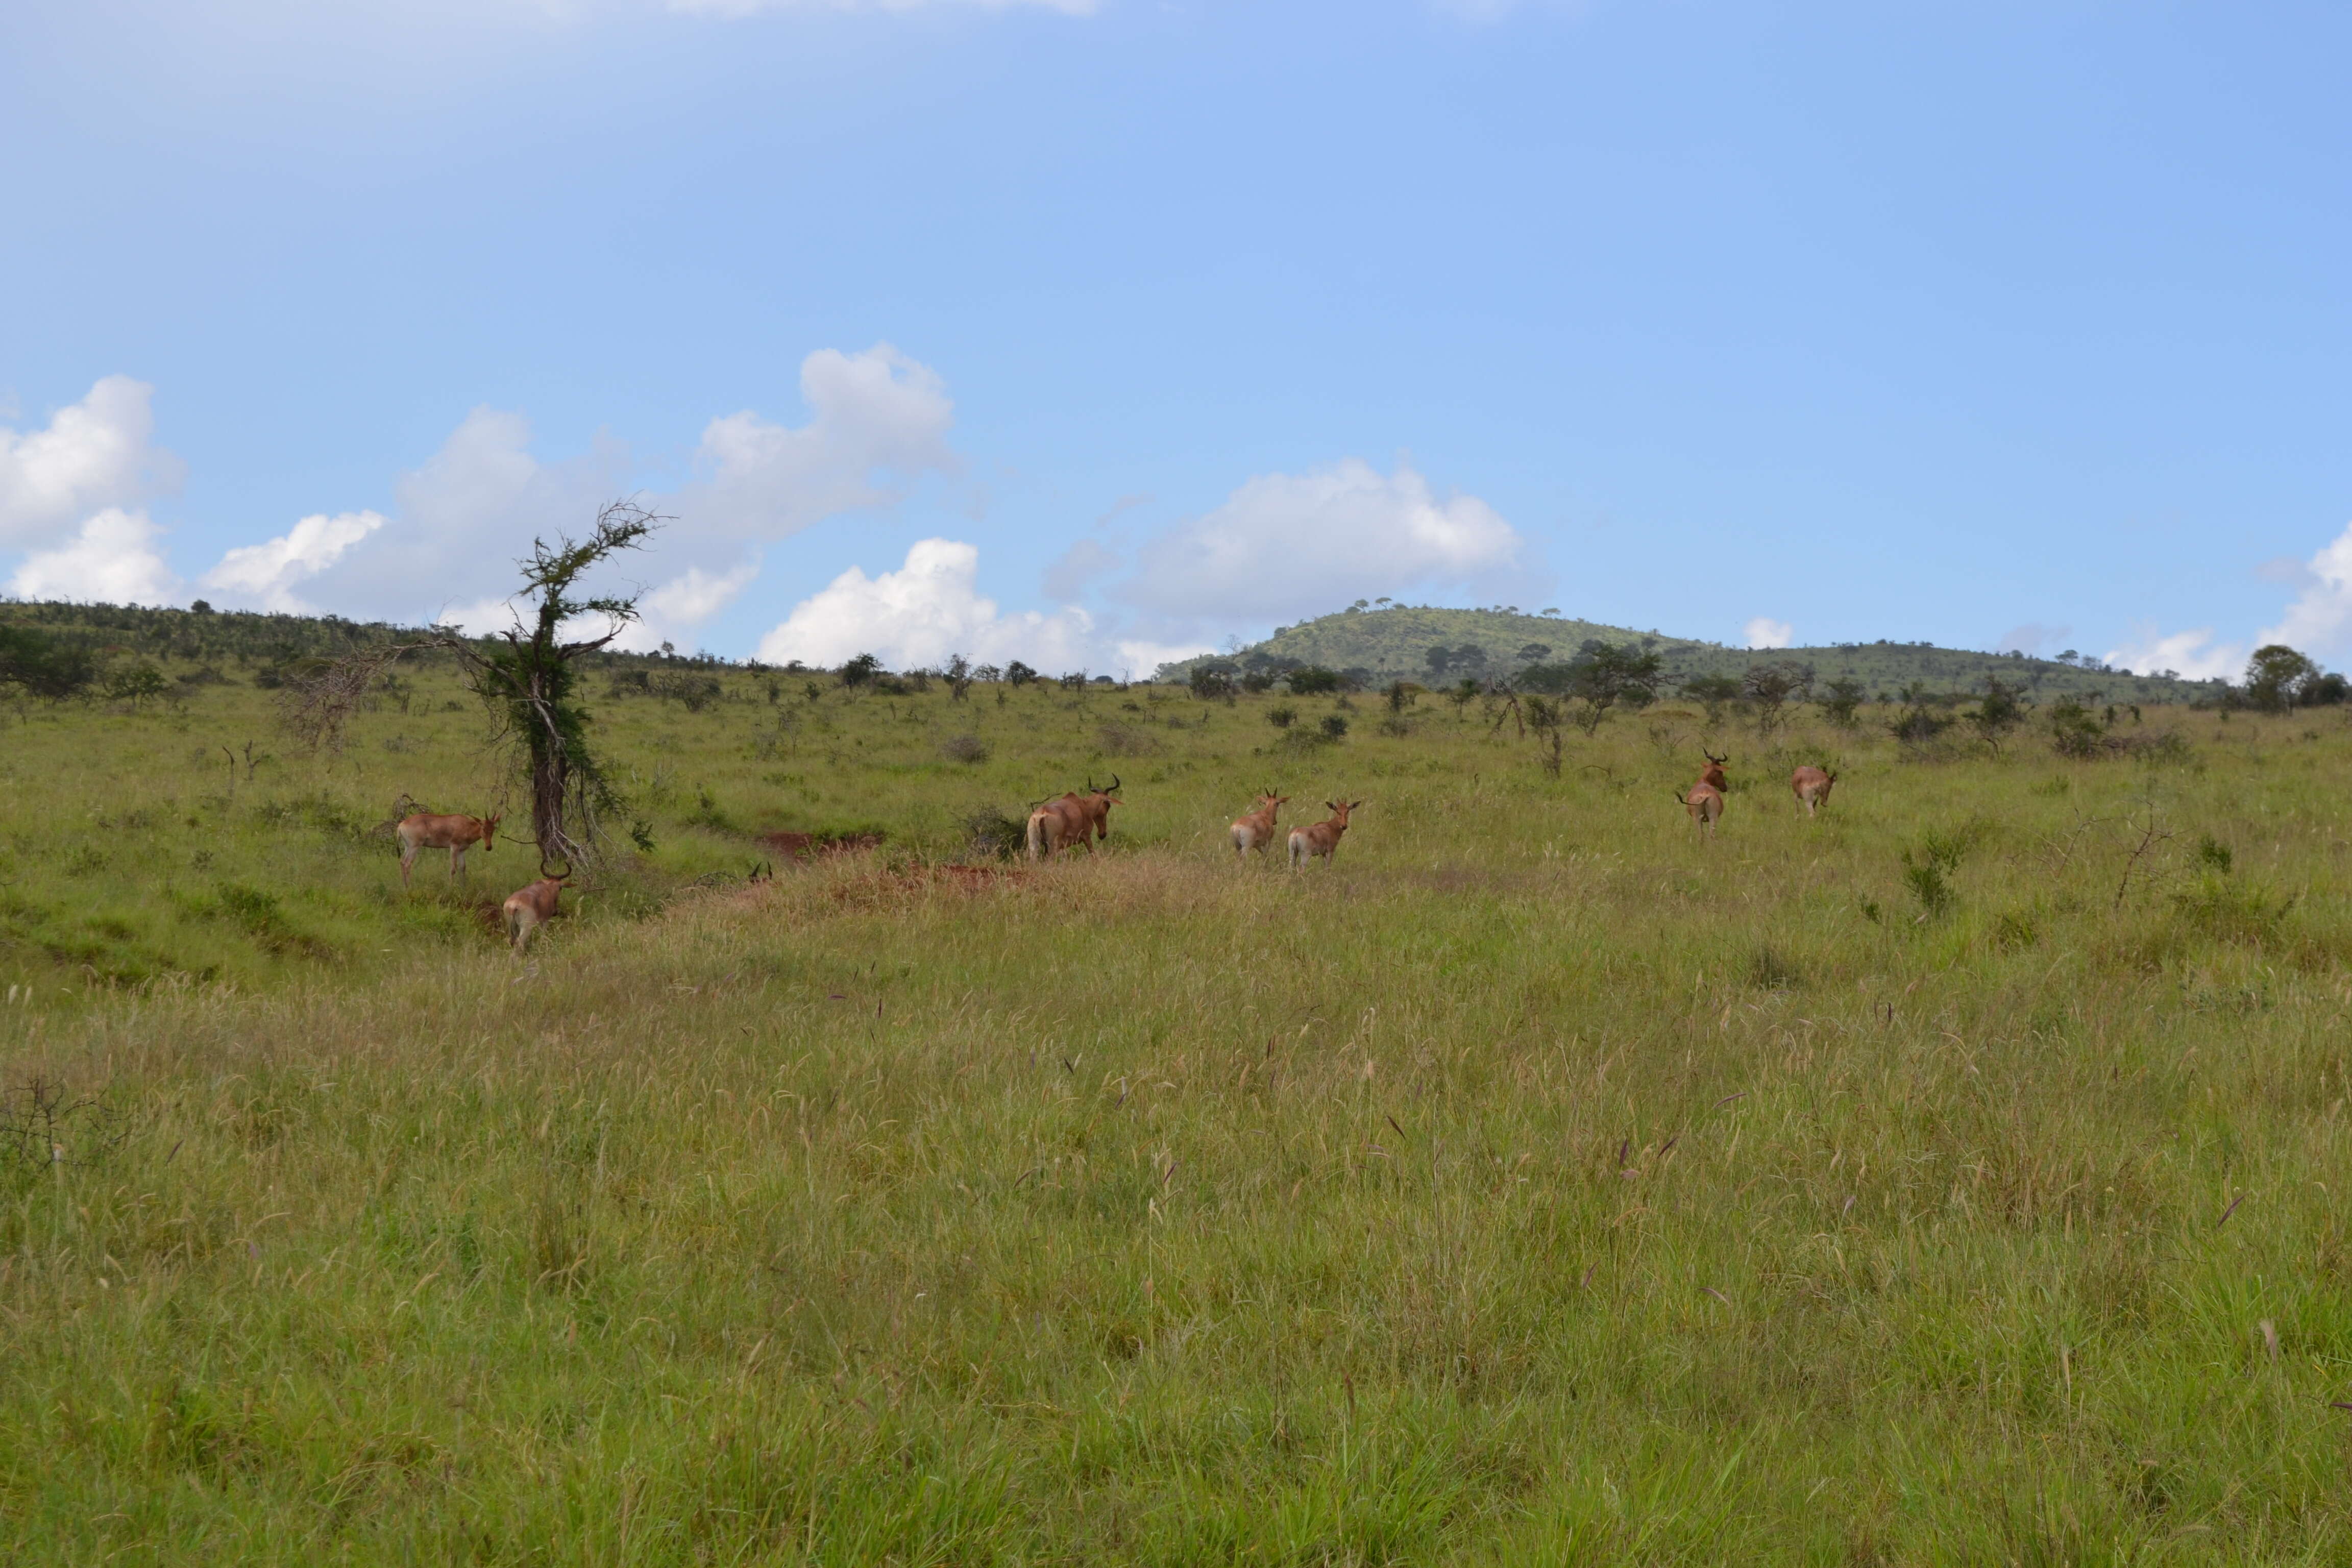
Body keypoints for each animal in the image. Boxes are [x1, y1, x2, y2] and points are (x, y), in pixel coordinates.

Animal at [395, 818, 501, 888]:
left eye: (493, 829)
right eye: (483, 828)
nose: (489, 847)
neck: (465, 825)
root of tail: (401, 826)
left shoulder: (461, 851)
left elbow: (463, 867)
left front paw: (463, 887)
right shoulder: (454, 847)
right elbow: (453, 869)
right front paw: (451, 887)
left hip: (408, 847)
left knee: (402, 862)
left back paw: (404, 886)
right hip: (415, 847)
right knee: (408, 863)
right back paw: (410, 887)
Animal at [498, 865, 567, 949]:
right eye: (561, 888)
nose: (555, 912)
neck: (548, 889)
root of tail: (515, 906)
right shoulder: (545, 920)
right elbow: (543, 936)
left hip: (512, 927)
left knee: (512, 941)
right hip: (526, 928)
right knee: (520, 943)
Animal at [1232, 790, 1289, 865]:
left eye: (1265, 803)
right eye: (1278, 803)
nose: (1275, 822)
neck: (1265, 815)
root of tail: (1236, 828)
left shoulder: (1257, 845)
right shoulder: (1267, 842)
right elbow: (1265, 856)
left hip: (1238, 847)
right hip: (1246, 847)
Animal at [1289, 799, 1364, 870]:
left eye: (1347, 811)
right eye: (1338, 812)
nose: (1344, 826)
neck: (1330, 827)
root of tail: (1296, 833)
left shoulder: (1323, 853)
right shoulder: (1330, 851)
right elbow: (1328, 868)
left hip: (1292, 853)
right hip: (1306, 855)